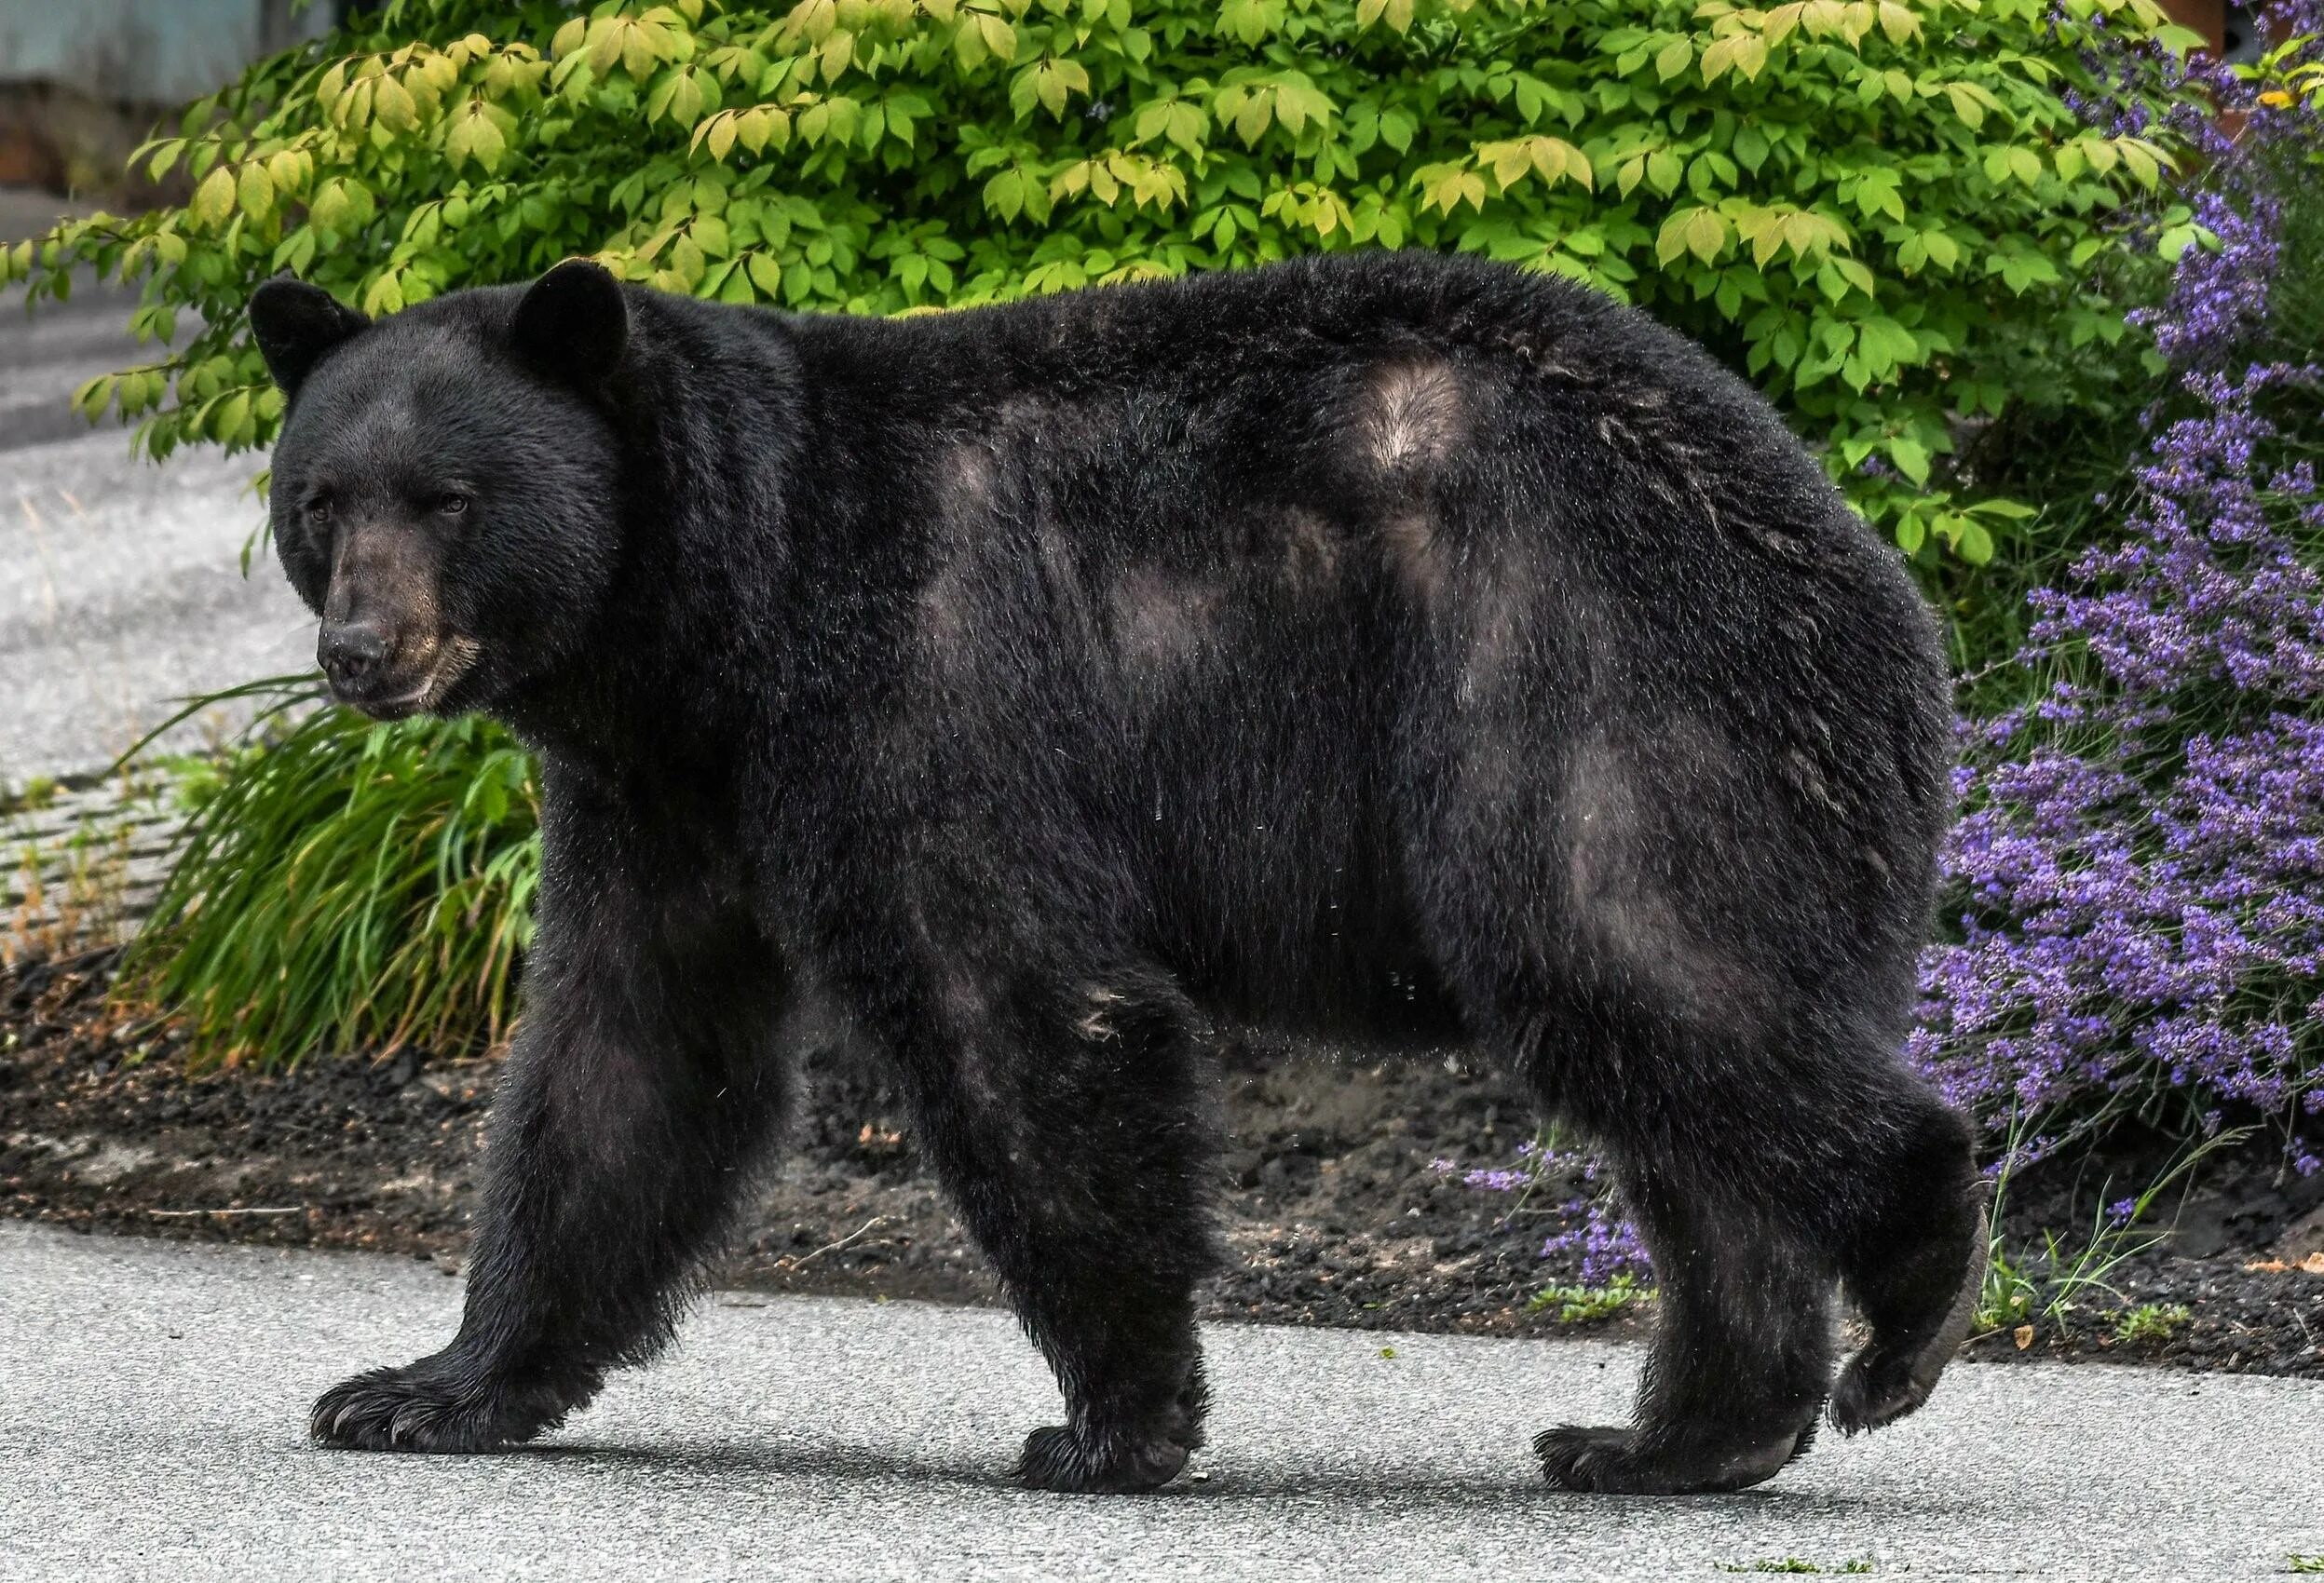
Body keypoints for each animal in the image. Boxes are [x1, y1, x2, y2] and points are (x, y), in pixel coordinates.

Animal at [245, 250, 1979, 1496]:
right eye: (319, 499)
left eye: (450, 499)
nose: (360, 653)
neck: (725, 610)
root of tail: (1870, 585)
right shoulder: (667, 791)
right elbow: (627, 1050)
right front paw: (422, 1389)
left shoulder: (916, 690)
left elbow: (1013, 1007)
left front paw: (1109, 1425)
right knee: (1684, 1092)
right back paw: (1678, 1436)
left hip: (1577, 669)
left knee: (1625, 963)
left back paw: (1906, 1297)